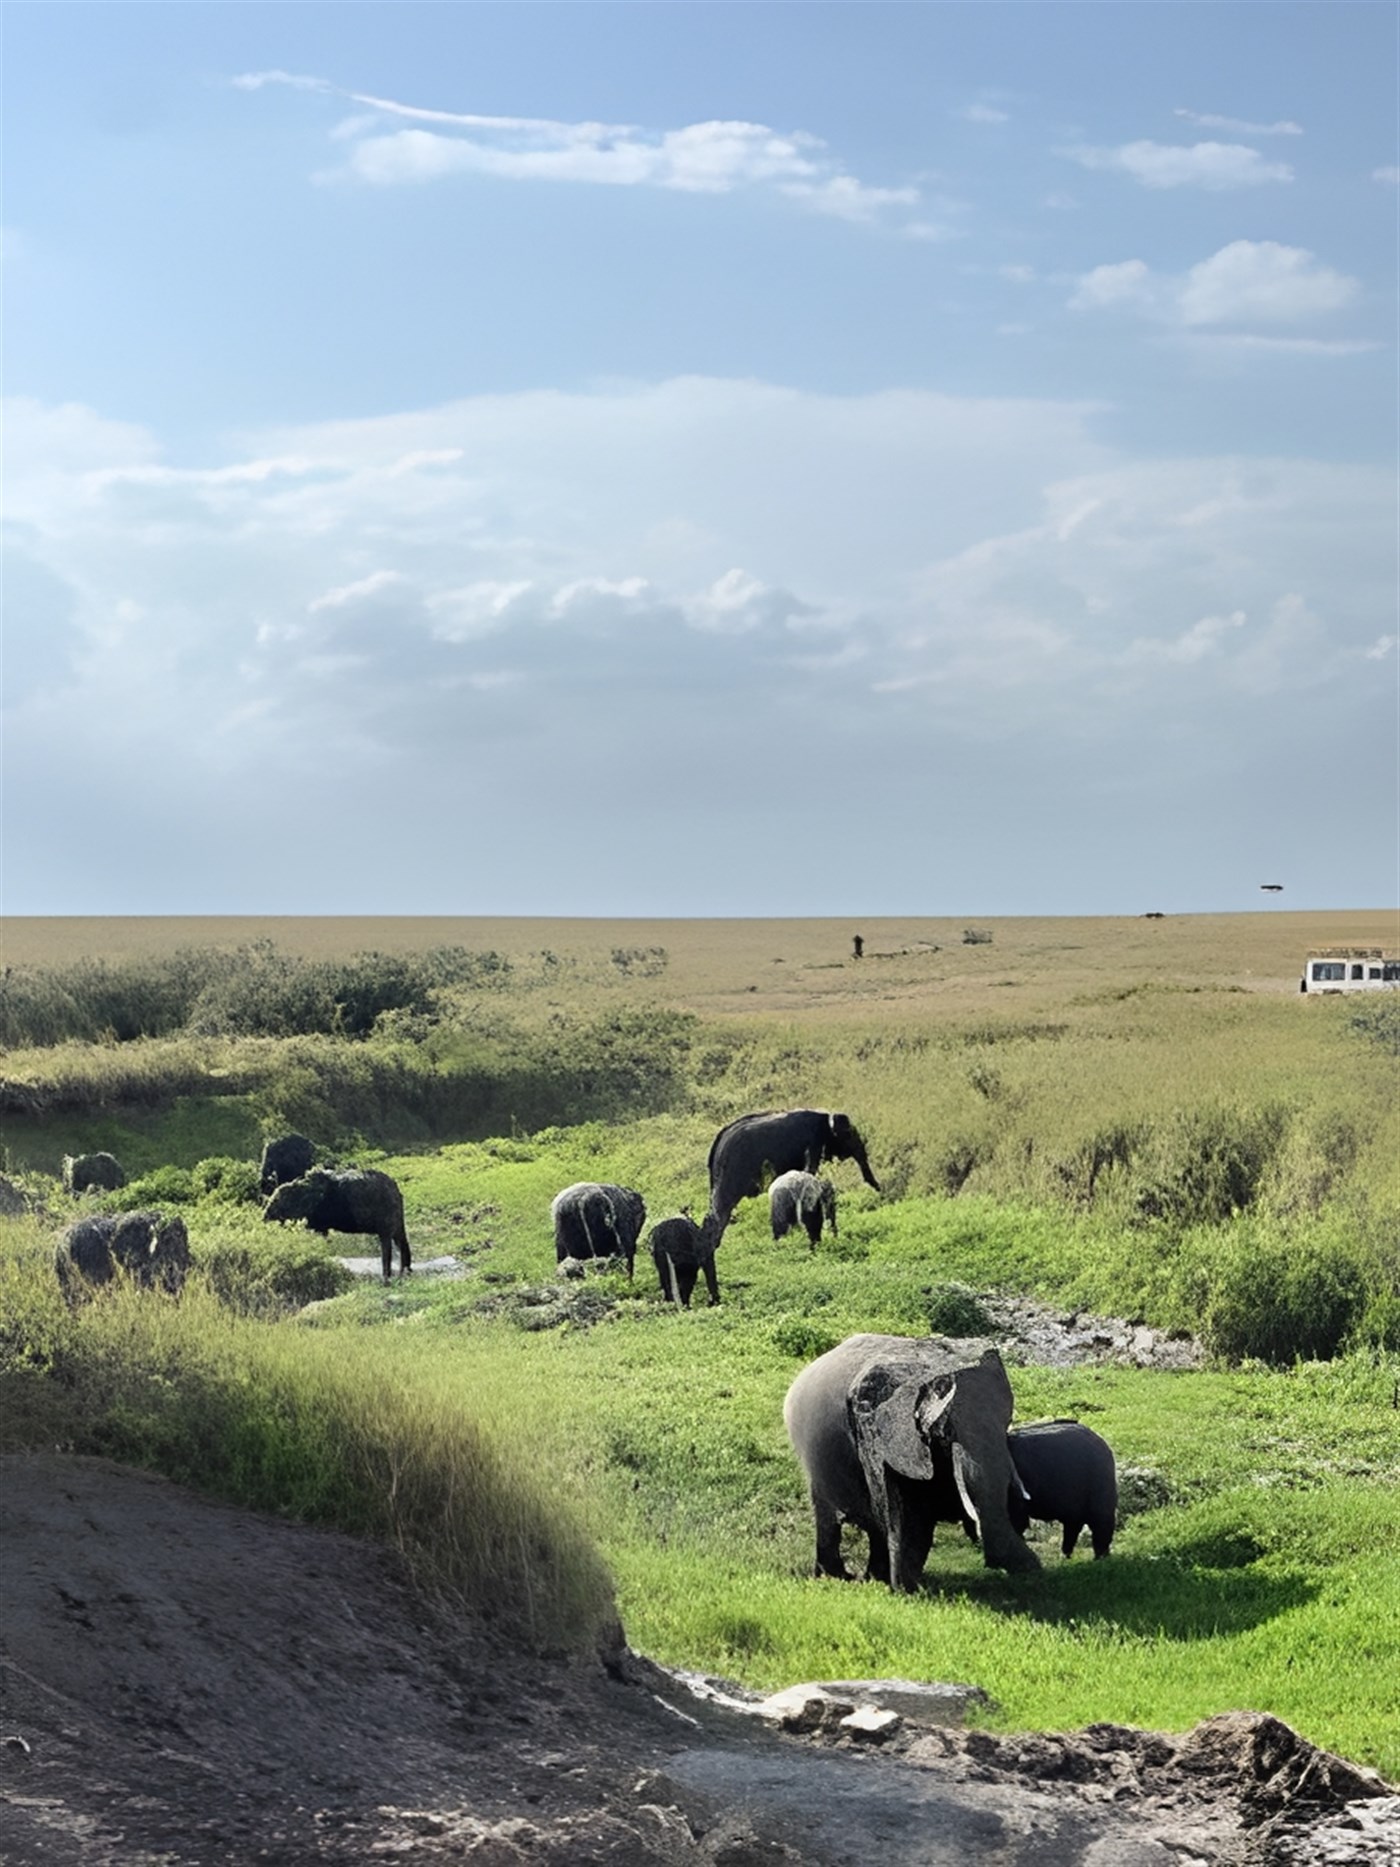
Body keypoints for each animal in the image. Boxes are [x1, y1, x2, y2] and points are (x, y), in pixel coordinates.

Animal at [263, 1168, 411, 1282]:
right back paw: (405, 1272)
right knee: (402, 1243)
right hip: (397, 1222)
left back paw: (387, 1276)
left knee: (388, 1248)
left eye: (277, 1202)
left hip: (387, 1222)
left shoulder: (320, 1224)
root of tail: (396, 1190)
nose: (265, 1218)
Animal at [784, 1333, 1040, 1589]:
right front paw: (907, 1589)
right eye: (944, 1435)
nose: (1028, 1569)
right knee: (829, 1517)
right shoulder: (874, 1434)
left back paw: (873, 1578)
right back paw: (838, 1577)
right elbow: (898, 1507)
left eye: (1007, 1423)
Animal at [1007, 1420, 1118, 1559]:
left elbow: (1017, 1519)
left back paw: (1099, 1558)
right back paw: (1067, 1556)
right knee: (1074, 1523)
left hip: (1099, 1477)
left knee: (1099, 1521)